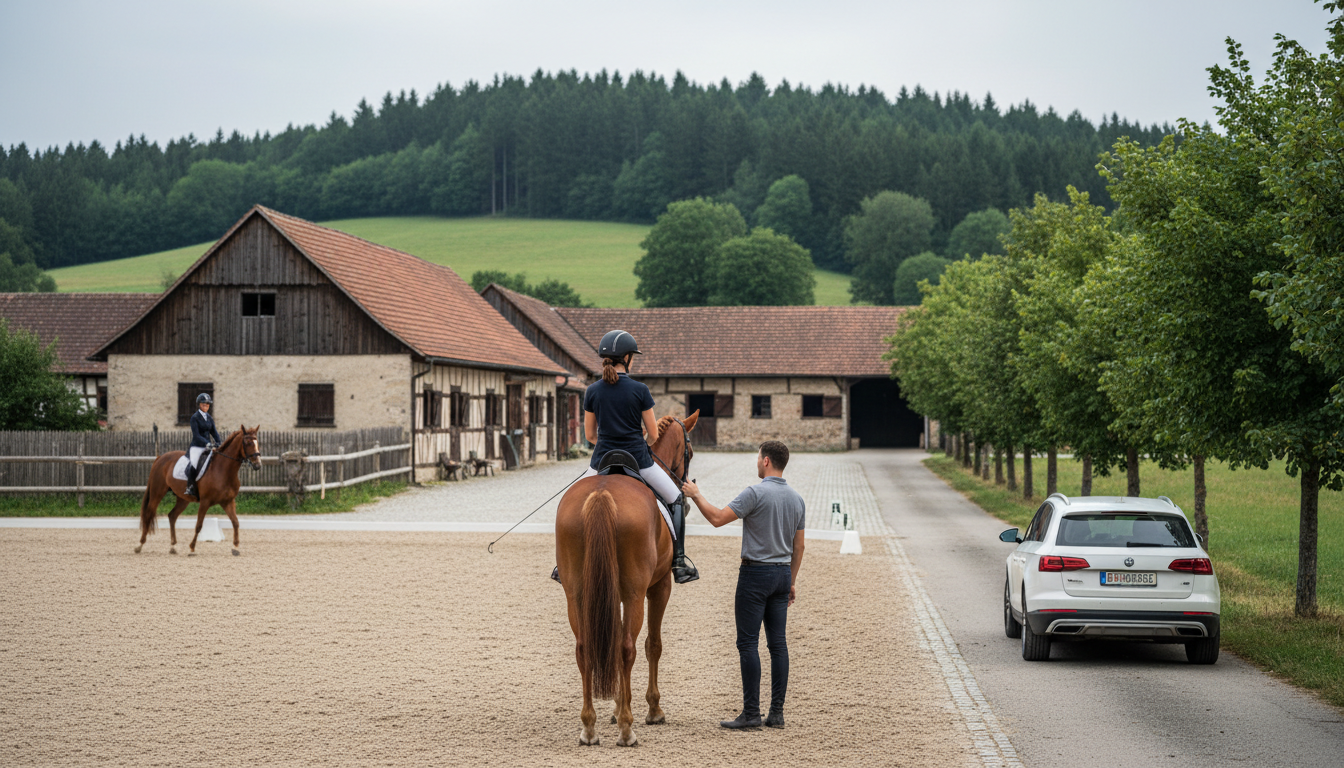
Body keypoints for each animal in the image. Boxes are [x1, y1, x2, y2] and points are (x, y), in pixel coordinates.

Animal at [135, 425, 262, 557]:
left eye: (257, 442)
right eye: (248, 443)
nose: (258, 465)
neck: (223, 470)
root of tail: (160, 458)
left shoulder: (228, 502)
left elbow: (235, 522)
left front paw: (235, 547)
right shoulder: (205, 502)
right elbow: (199, 525)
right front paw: (192, 548)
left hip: (183, 499)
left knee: (172, 516)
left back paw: (173, 546)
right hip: (157, 492)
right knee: (149, 513)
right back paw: (140, 545)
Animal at [555, 411, 699, 747]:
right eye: (689, 451)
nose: (686, 497)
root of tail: (601, 494)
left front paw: (617, 706)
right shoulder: (658, 587)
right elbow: (652, 644)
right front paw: (651, 709)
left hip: (576, 593)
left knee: (585, 648)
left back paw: (589, 727)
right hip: (635, 591)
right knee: (626, 648)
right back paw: (627, 729)